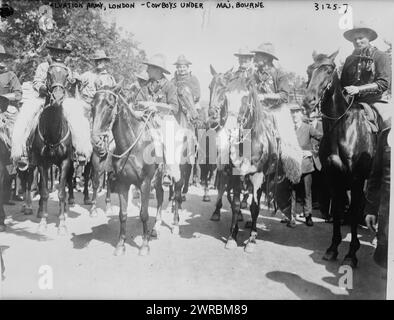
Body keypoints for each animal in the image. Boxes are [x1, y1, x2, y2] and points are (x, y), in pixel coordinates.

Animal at [29, 62, 74, 234]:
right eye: (49, 74)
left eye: (66, 75)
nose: (57, 98)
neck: (54, 133)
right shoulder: (42, 163)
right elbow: (44, 192)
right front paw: (43, 222)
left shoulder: (66, 162)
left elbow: (61, 192)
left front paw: (62, 224)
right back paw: (40, 210)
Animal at [91, 87, 165, 255]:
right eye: (92, 106)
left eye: (110, 106)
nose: (96, 141)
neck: (132, 146)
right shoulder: (123, 184)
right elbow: (123, 215)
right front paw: (120, 245)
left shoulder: (145, 183)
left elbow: (144, 214)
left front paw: (144, 246)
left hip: (159, 178)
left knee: (160, 197)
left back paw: (155, 228)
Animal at [302, 50, 378, 268]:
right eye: (309, 69)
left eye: (328, 70)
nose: (308, 101)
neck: (342, 128)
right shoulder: (333, 178)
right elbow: (336, 210)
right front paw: (333, 248)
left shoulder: (356, 180)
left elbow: (352, 212)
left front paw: (351, 253)